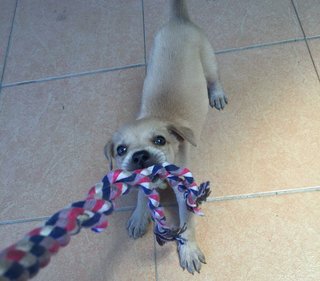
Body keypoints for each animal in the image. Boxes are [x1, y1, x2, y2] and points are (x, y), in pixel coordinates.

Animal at [105, 0, 228, 272]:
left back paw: (216, 94)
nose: (140, 156)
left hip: (209, 61)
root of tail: (178, 21)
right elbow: (142, 195)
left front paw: (189, 250)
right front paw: (139, 216)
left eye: (160, 140)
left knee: (214, 79)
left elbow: (187, 225)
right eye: (121, 150)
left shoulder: (186, 193)